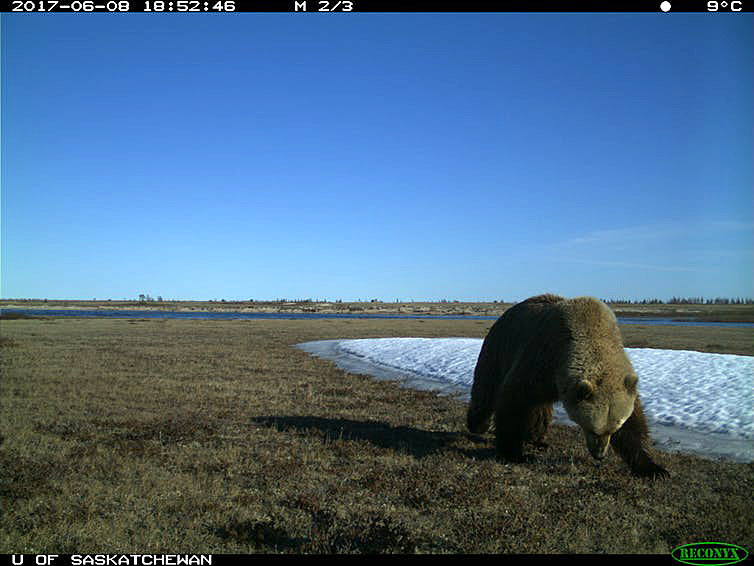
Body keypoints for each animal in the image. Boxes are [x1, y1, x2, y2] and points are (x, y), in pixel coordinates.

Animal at [467, 293, 668, 478]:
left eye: (614, 428)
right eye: (592, 429)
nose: (600, 455)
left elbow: (635, 426)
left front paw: (654, 468)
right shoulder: (541, 359)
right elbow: (514, 399)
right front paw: (514, 454)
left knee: (539, 408)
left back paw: (537, 438)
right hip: (498, 349)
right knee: (485, 389)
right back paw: (479, 424)